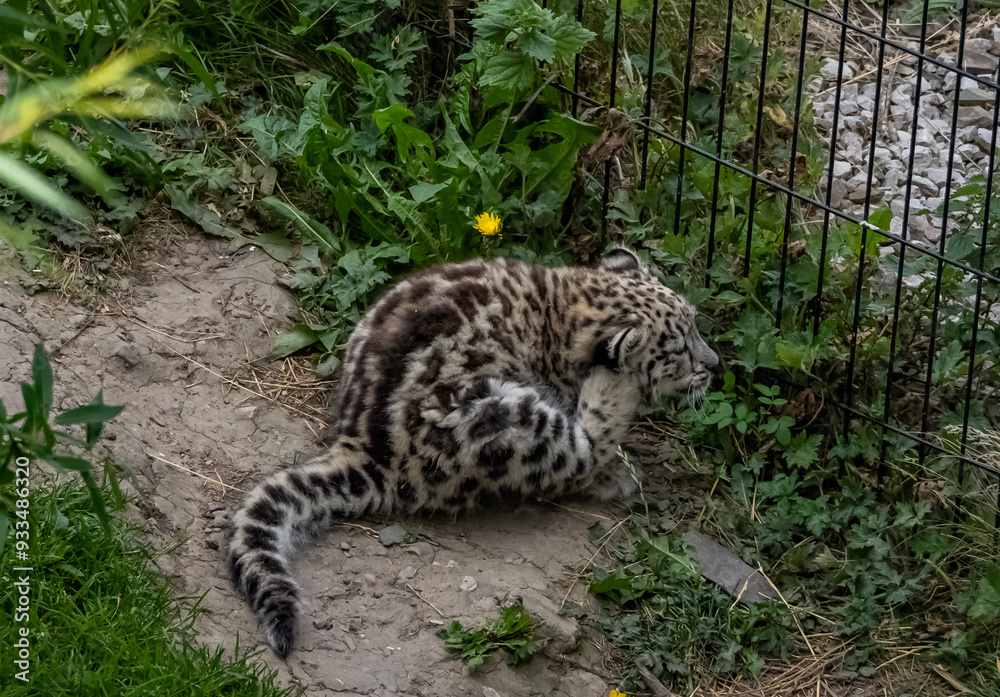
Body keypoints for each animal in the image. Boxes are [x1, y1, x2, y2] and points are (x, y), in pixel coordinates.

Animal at [227, 245, 719, 657]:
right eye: (677, 350)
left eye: (697, 323)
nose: (715, 365)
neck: (562, 308)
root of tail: (364, 443)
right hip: (504, 418)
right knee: (577, 456)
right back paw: (615, 423)